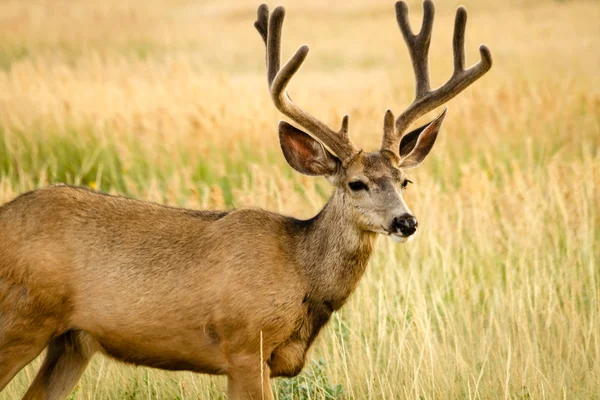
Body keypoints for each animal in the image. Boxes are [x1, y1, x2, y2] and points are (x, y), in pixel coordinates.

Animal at [0, 1, 492, 398]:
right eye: (356, 183)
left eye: (404, 181)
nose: (405, 222)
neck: (299, 271)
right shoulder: (243, 346)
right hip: (22, 318)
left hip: (71, 341)